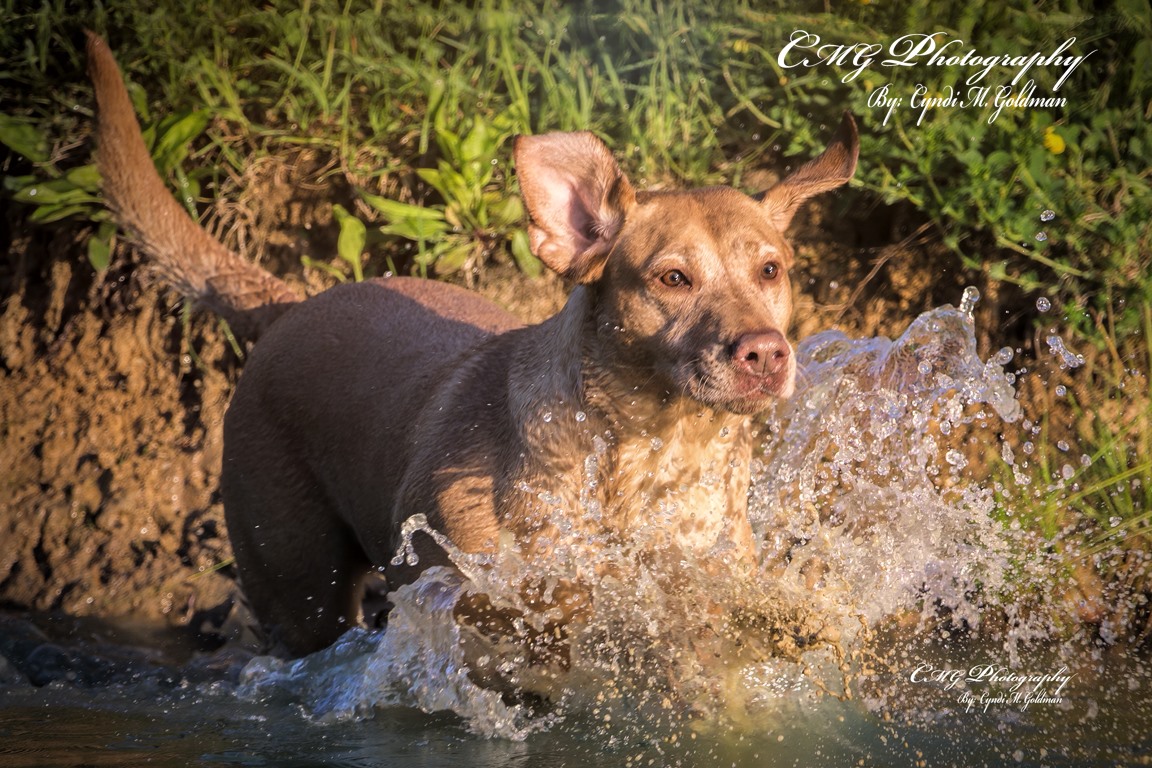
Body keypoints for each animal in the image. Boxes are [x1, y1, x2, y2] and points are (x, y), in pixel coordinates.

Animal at [87, 33, 857, 658]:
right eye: (673, 278)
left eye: (771, 270)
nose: (765, 352)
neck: (650, 454)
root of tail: (294, 303)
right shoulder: (459, 586)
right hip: (297, 585)